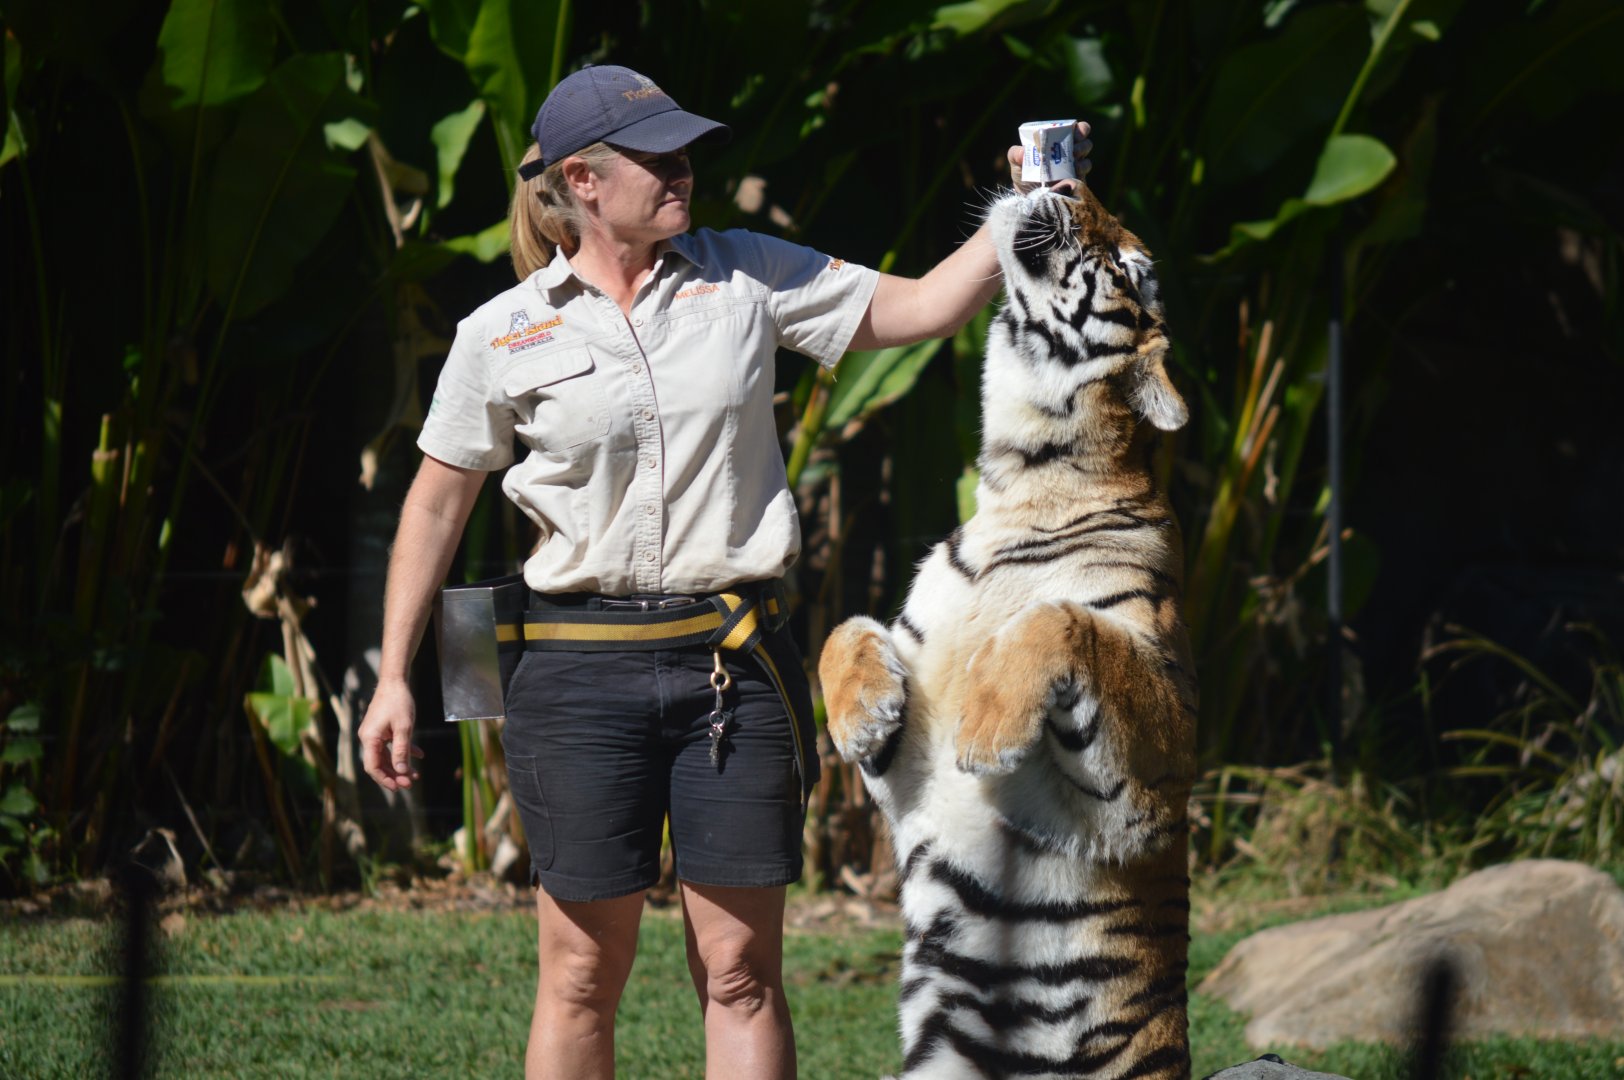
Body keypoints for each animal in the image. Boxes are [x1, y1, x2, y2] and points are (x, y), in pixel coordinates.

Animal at [818, 180, 1199, 1080]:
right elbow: (844, 626)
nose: (1064, 182)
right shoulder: (906, 777)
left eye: (1128, 261)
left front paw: (988, 728)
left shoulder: (1162, 772)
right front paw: (861, 718)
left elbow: (1061, 620)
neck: (1026, 481)